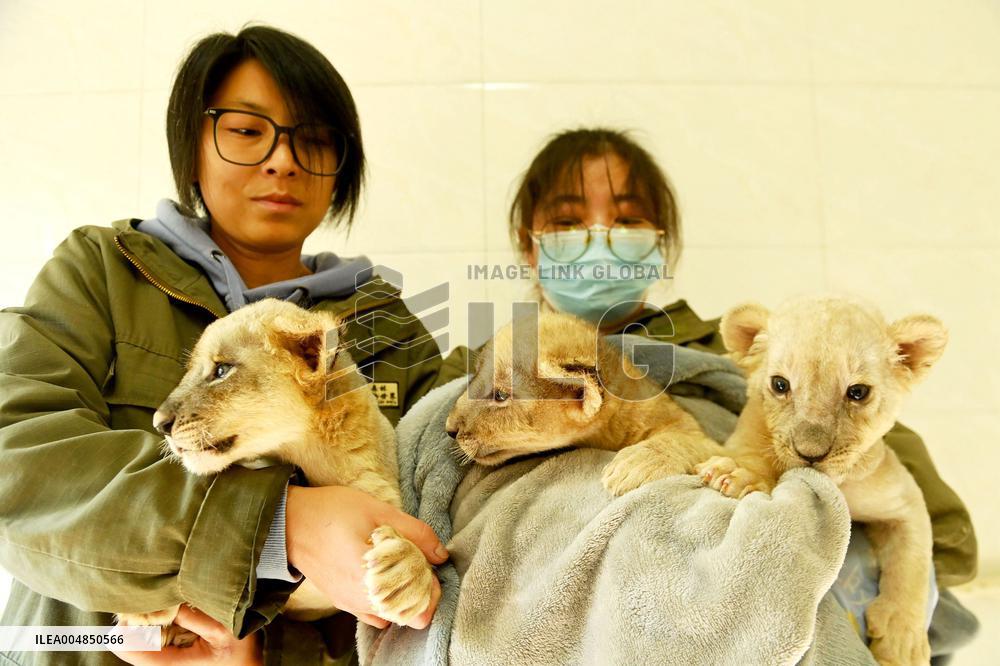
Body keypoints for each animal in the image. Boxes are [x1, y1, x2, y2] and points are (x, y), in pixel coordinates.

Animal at [444, 311, 724, 496]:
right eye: (474, 376)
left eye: (501, 396)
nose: (449, 429)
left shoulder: (703, 437)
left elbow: (677, 441)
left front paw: (633, 465)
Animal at [693, 296, 946, 666]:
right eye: (780, 385)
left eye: (858, 392)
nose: (810, 453)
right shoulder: (748, 432)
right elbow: (753, 454)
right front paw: (735, 474)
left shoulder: (905, 500)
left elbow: (911, 565)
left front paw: (902, 645)